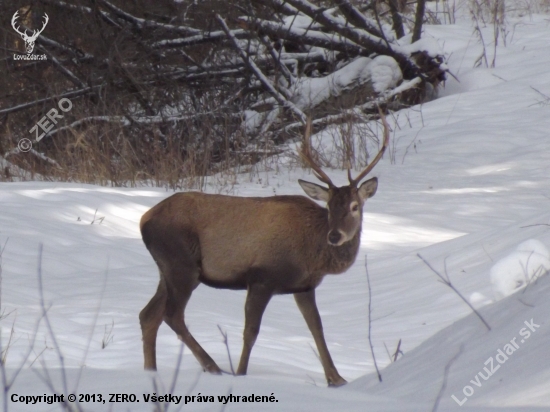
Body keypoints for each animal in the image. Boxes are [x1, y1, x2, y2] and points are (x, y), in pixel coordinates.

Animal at [141, 111, 392, 384]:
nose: (334, 236)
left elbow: (317, 328)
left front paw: (336, 379)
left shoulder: (304, 286)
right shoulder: (262, 277)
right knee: (172, 315)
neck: (312, 255)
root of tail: (144, 220)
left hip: (166, 270)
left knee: (148, 315)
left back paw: (151, 372)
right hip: (182, 264)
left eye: (355, 206)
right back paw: (213, 367)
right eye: (329, 207)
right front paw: (240, 374)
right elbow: (250, 332)